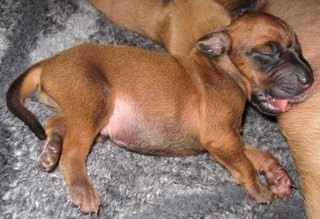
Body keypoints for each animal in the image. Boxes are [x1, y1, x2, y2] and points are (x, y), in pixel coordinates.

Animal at [6, 13, 312, 214]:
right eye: (267, 54)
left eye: (298, 49)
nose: (310, 79)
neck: (225, 69)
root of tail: (49, 61)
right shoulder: (221, 138)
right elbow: (246, 165)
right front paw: (260, 189)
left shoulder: (229, 139)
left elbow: (259, 155)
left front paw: (278, 177)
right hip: (95, 100)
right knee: (73, 153)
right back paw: (82, 187)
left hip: (77, 107)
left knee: (54, 122)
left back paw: (51, 149)